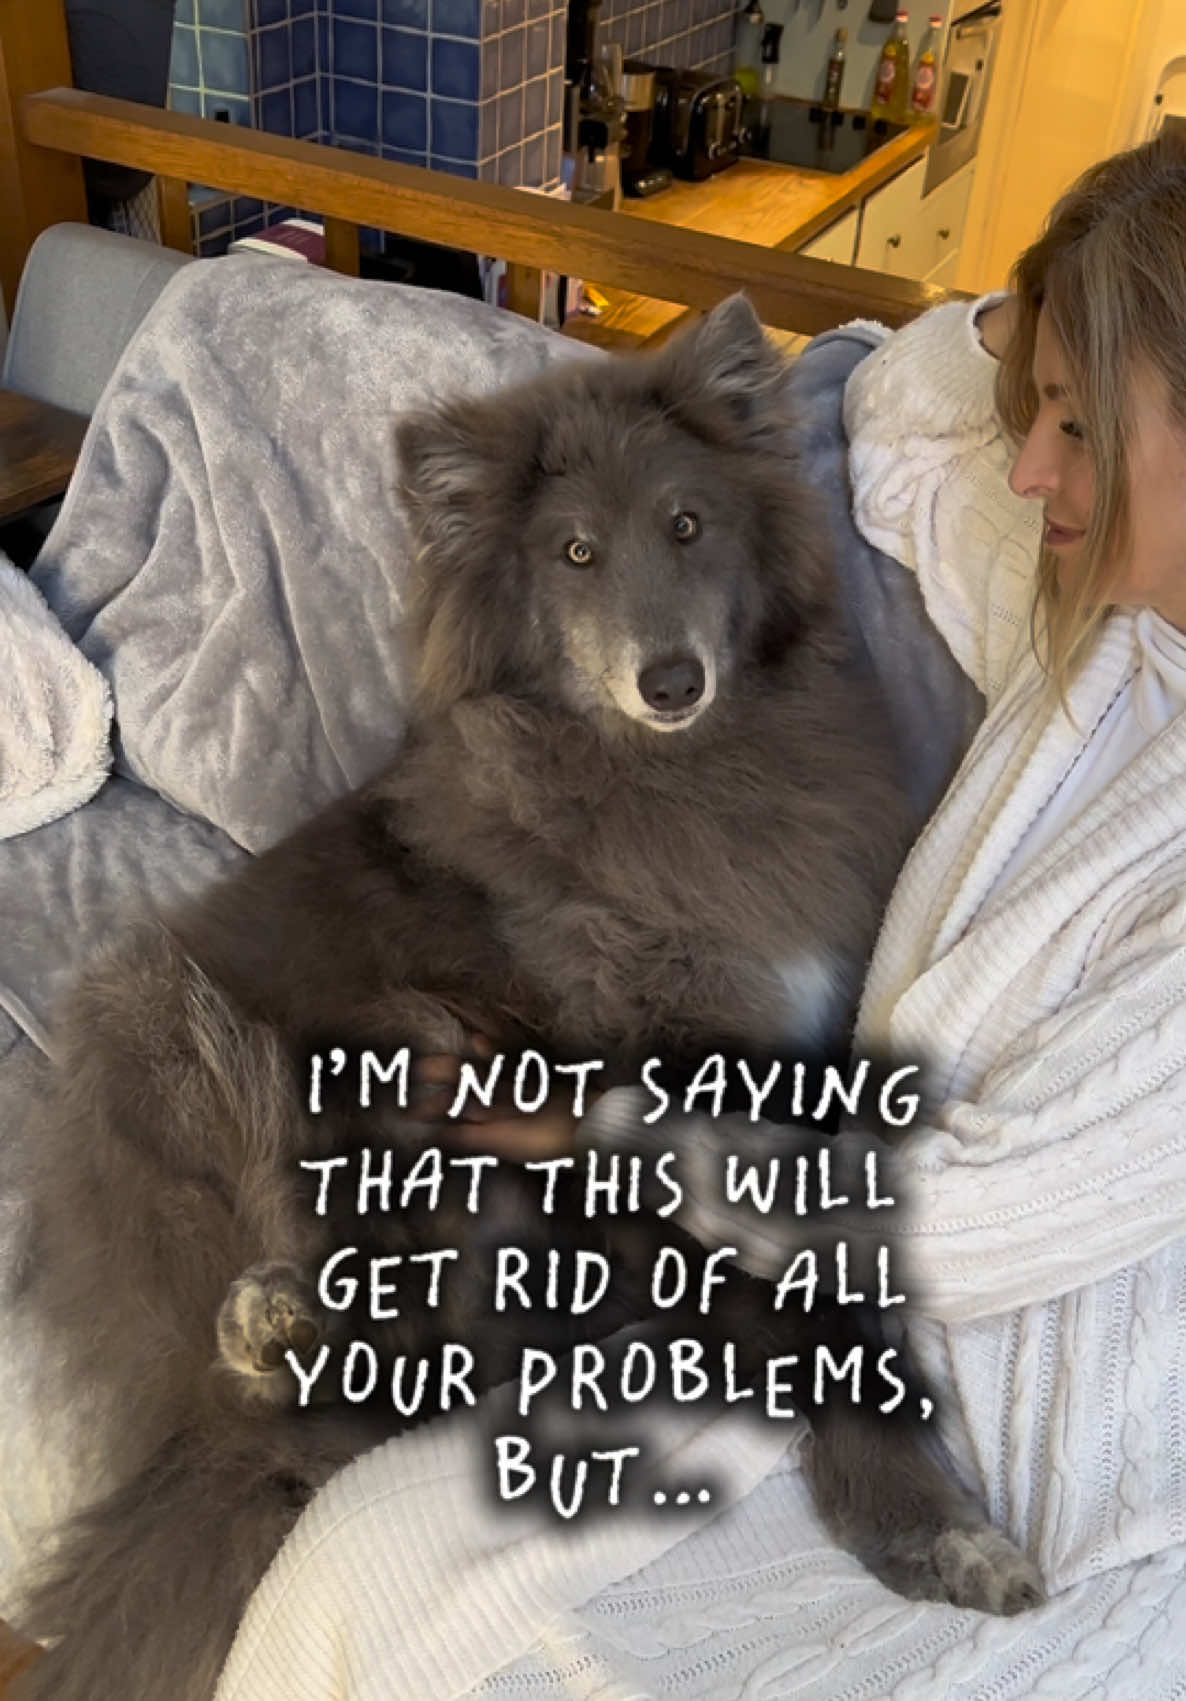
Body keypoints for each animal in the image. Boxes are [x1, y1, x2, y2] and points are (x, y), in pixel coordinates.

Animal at [9, 296, 1041, 1701]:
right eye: (574, 554)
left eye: (686, 525)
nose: (670, 680)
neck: (674, 781)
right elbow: (802, 1314)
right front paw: (934, 1527)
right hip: (200, 1036)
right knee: (285, 1394)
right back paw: (270, 1322)